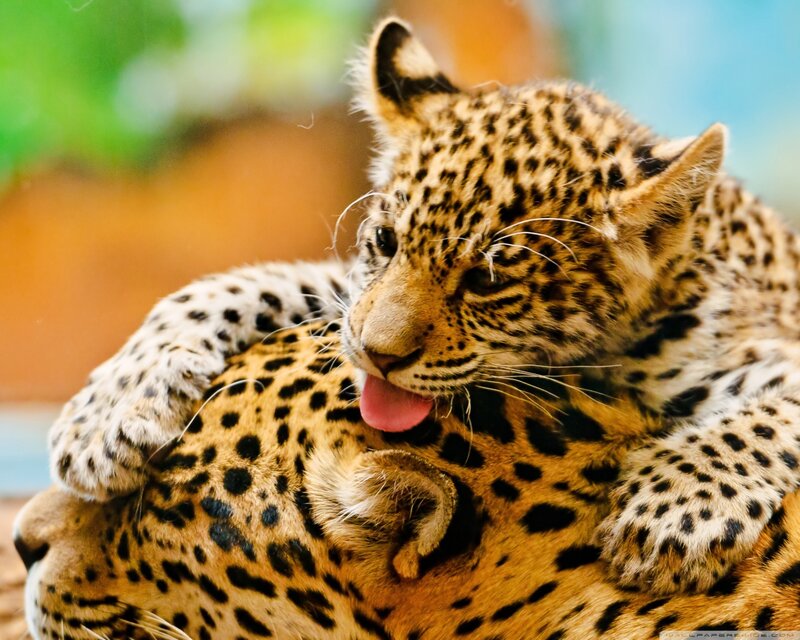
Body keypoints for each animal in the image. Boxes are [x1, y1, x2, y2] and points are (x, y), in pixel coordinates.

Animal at [48, 17, 800, 595]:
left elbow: (770, 411)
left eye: (488, 281)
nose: (377, 357)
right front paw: (106, 417)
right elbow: (238, 284)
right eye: (386, 241)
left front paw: (673, 512)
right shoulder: (348, 296)